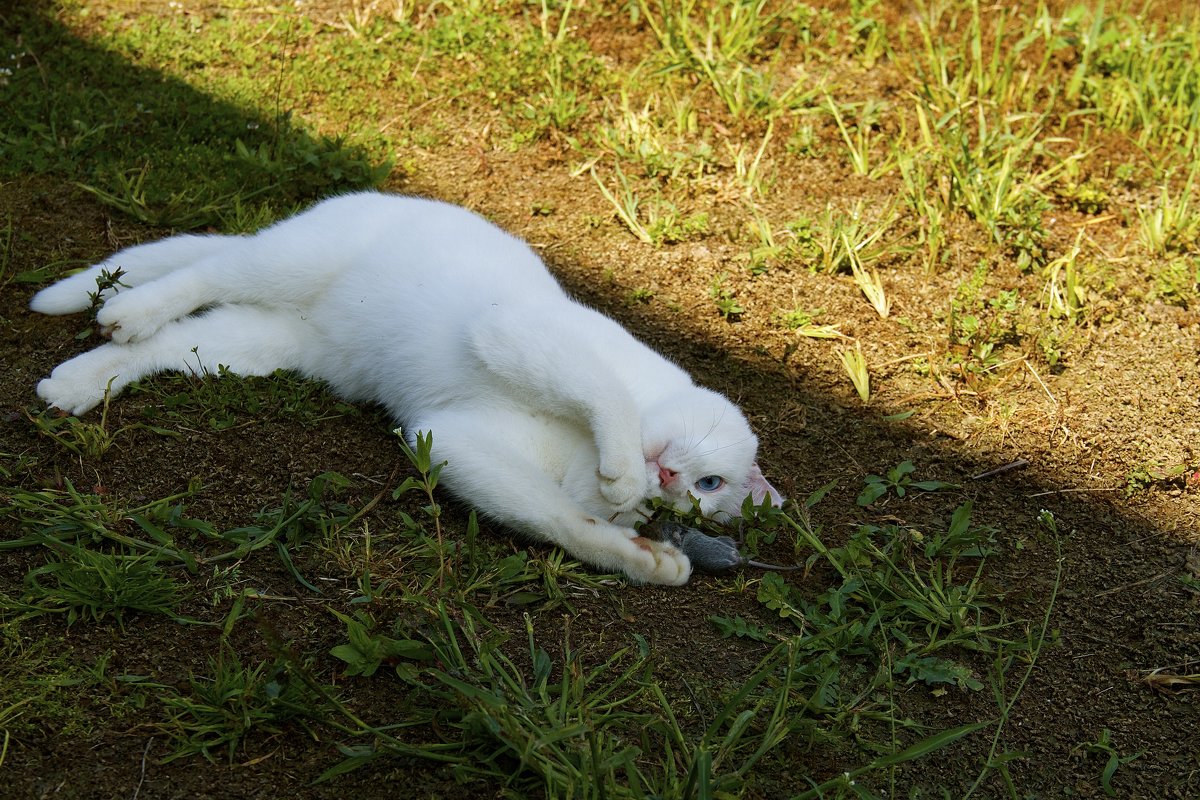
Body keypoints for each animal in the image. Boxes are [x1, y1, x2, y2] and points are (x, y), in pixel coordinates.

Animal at [30, 191, 777, 585]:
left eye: (704, 497)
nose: (670, 480)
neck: (579, 452)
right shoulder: (519, 331)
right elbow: (604, 395)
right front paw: (622, 471)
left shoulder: (449, 439)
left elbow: (557, 518)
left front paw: (643, 557)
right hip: (292, 262)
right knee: (207, 269)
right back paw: (128, 309)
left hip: (259, 344)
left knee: (174, 340)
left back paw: (80, 381)